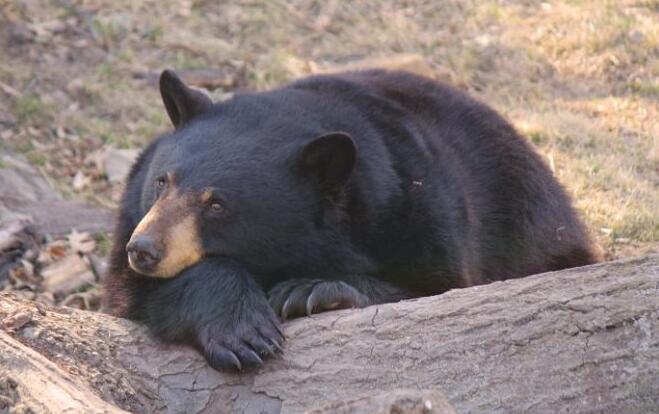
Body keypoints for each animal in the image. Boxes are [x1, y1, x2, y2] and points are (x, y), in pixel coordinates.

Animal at [104, 68, 600, 372]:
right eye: (163, 181)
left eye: (217, 204)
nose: (144, 250)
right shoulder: (131, 213)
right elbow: (135, 294)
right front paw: (243, 332)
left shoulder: (424, 213)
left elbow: (435, 289)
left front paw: (308, 290)